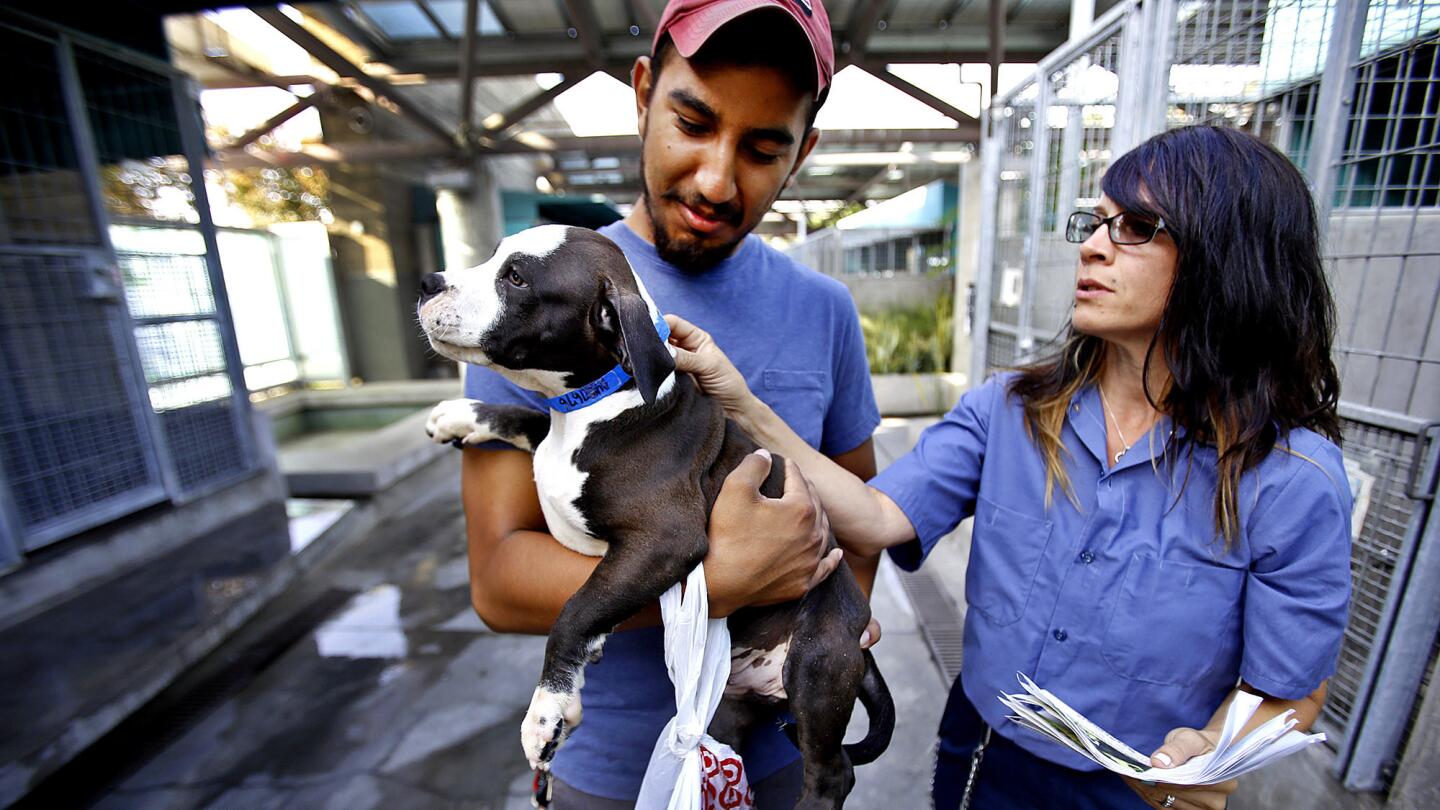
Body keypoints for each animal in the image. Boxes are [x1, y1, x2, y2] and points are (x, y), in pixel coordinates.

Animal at [417, 223, 887, 801]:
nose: (427, 281)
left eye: (517, 278)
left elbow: (577, 608)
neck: (597, 400)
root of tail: (859, 638)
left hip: (817, 662)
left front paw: (548, 711)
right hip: (733, 705)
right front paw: (463, 414)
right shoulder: (552, 441)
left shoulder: (665, 539)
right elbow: (525, 418)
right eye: (494, 258)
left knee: (832, 771)